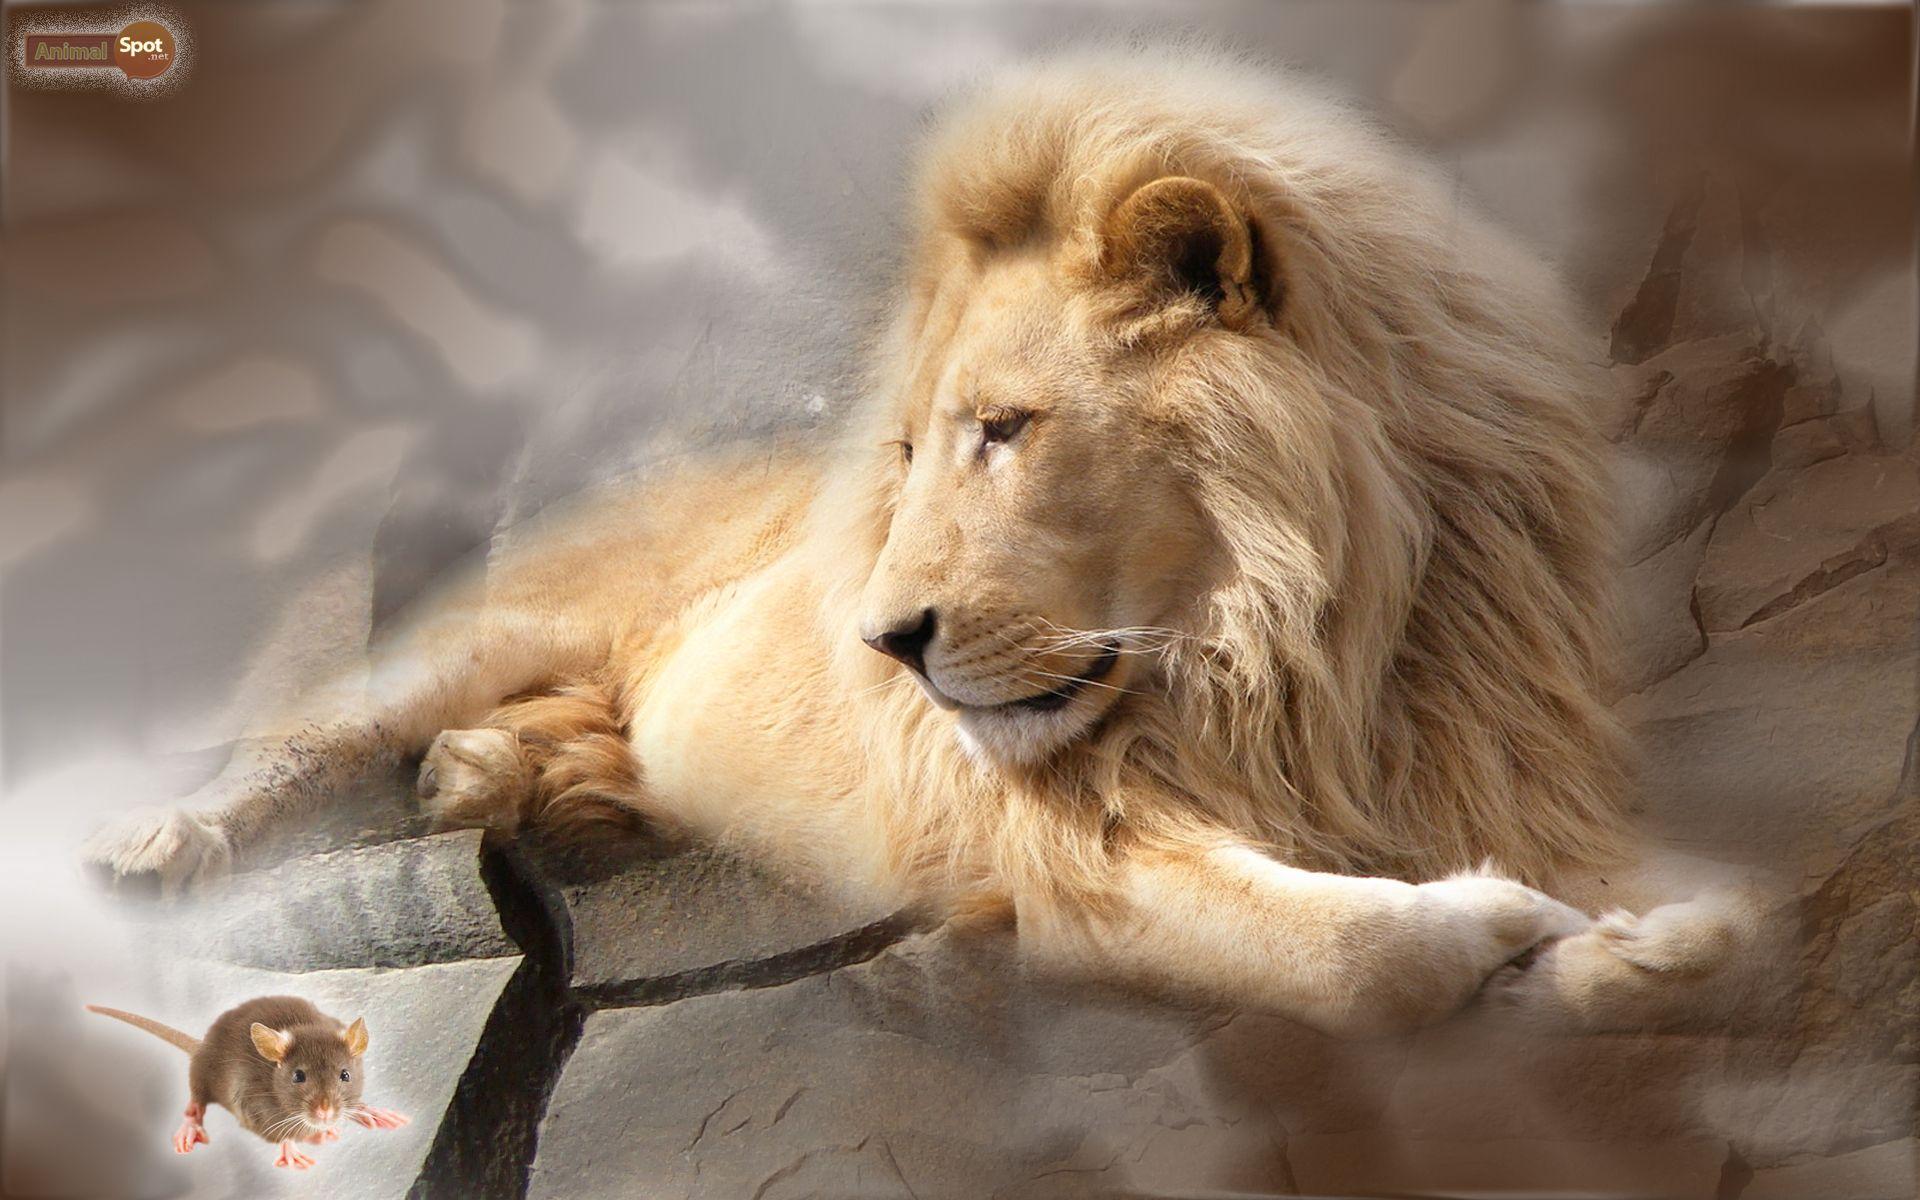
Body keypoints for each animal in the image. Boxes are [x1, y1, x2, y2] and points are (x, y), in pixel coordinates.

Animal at [85, 48, 1766, 1037]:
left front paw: (1629, 948)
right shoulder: (1080, 847)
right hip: (494, 626)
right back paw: (161, 845)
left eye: (1008, 428)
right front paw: (1509, 929)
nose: (885, 645)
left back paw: (502, 783)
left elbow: (1729, 922)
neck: (1297, 643)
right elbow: (1358, 955)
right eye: (905, 451)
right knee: (309, 736)